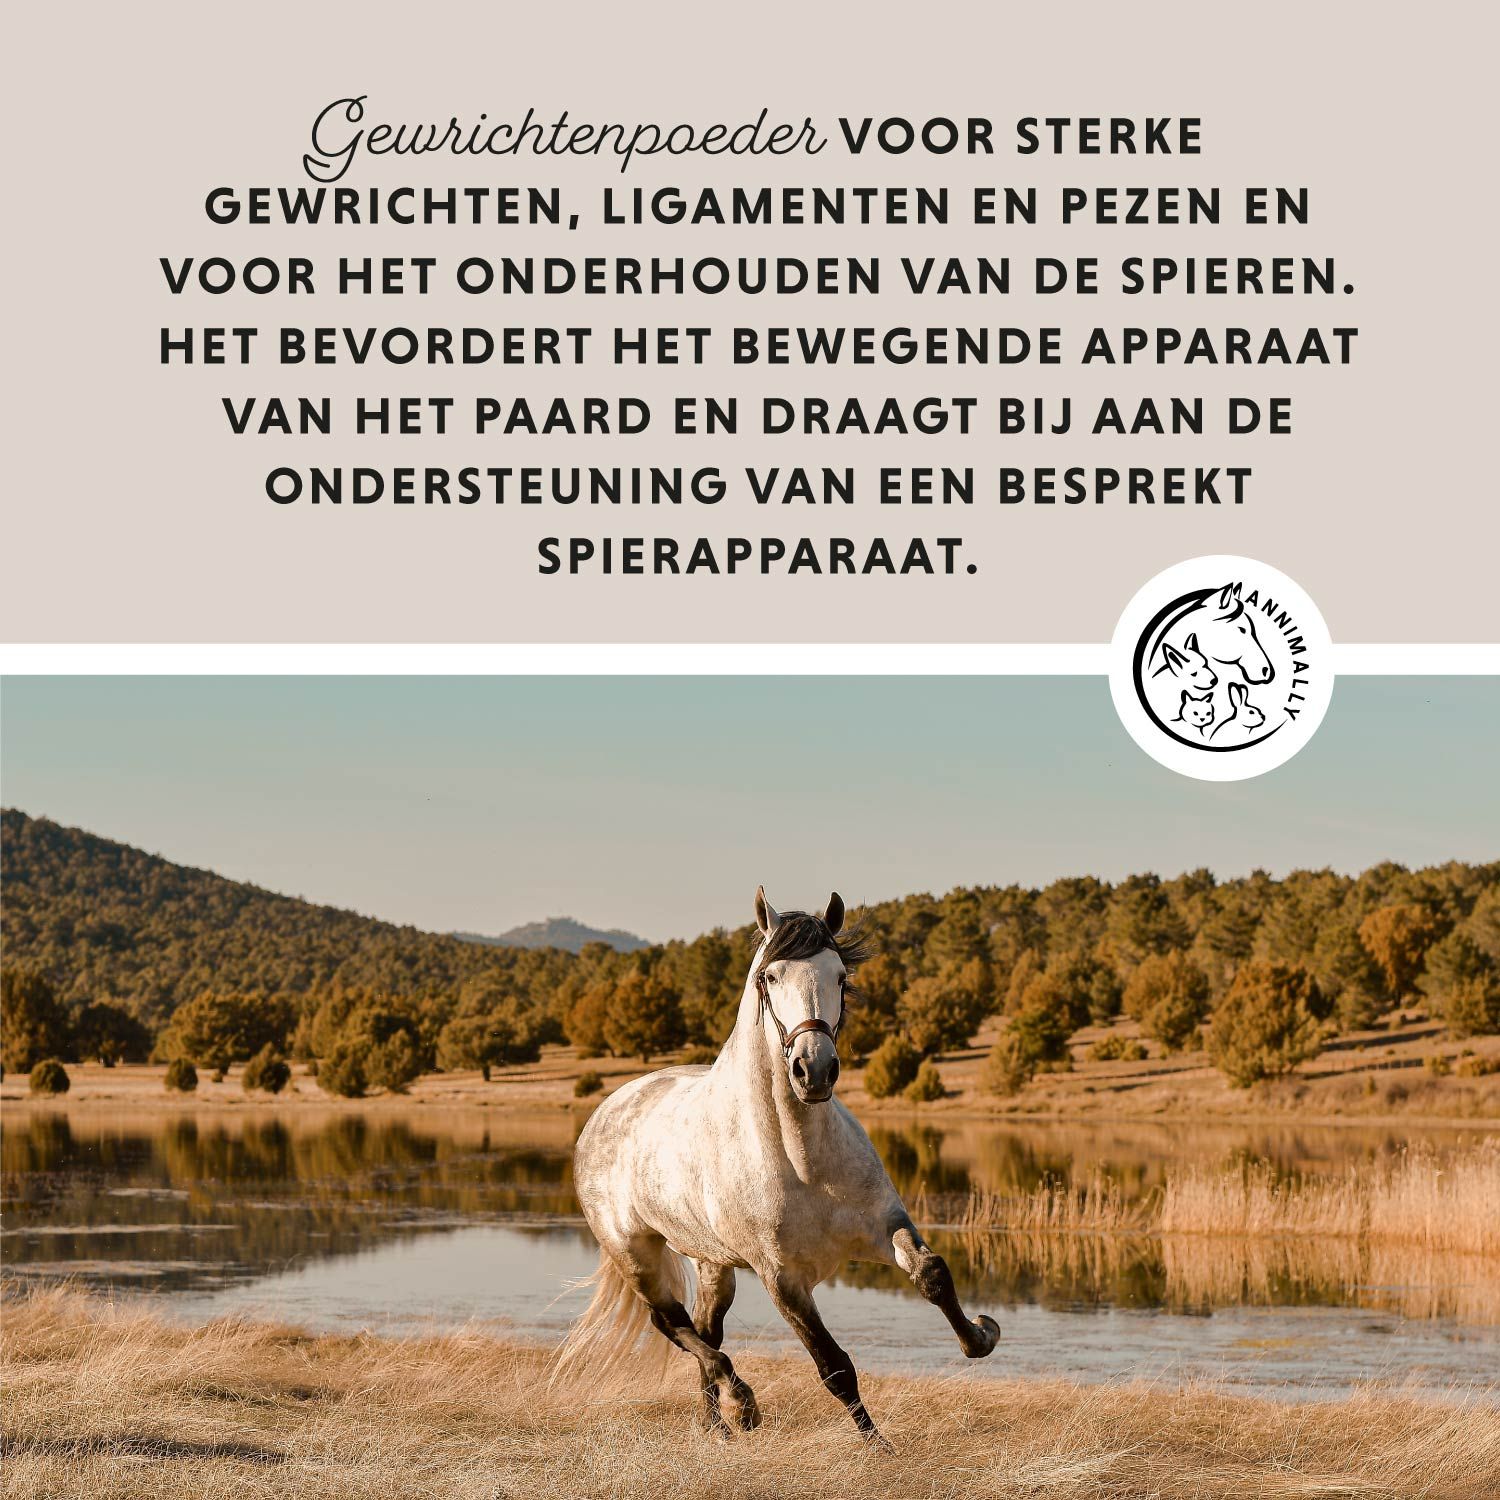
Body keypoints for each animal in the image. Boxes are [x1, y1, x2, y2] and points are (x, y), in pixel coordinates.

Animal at [555, 887, 999, 1444]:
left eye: (840, 975)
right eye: (770, 976)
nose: (815, 1070)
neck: (801, 1160)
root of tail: (605, 1111)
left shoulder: (883, 1227)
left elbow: (932, 1273)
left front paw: (981, 1335)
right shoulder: (783, 1279)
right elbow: (834, 1367)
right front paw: (880, 1449)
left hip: (713, 1263)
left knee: (704, 1328)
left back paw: (717, 1427)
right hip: (636, 1255)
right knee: (671, 1324)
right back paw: (741, 1404)